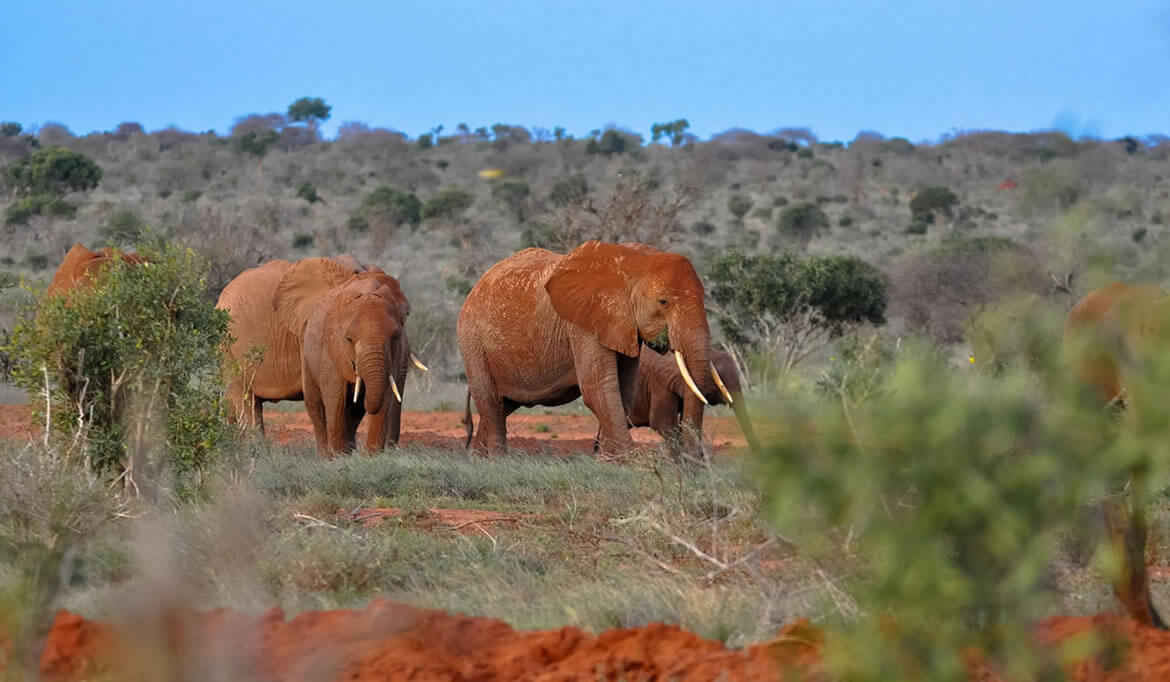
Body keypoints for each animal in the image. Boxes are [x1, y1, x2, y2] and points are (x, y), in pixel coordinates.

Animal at [215, 253, 425, 456]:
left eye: (405, 317)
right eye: (348, 338)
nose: (387, 451)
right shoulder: (312, 334)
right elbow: (334, 394)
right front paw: (339, 458)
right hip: (228, 348)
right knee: (246, 400)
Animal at [456, 239, 730, 458]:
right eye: (663, 302)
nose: (694, 463)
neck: (634, 262)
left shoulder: (623, 326)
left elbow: (622, 388)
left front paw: (608, 461)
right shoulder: (584, 324)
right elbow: (599, 387)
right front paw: (625, 463)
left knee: (501, 406)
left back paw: (478, 461)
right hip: (472, 340)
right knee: (491, 403)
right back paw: (496, 461)